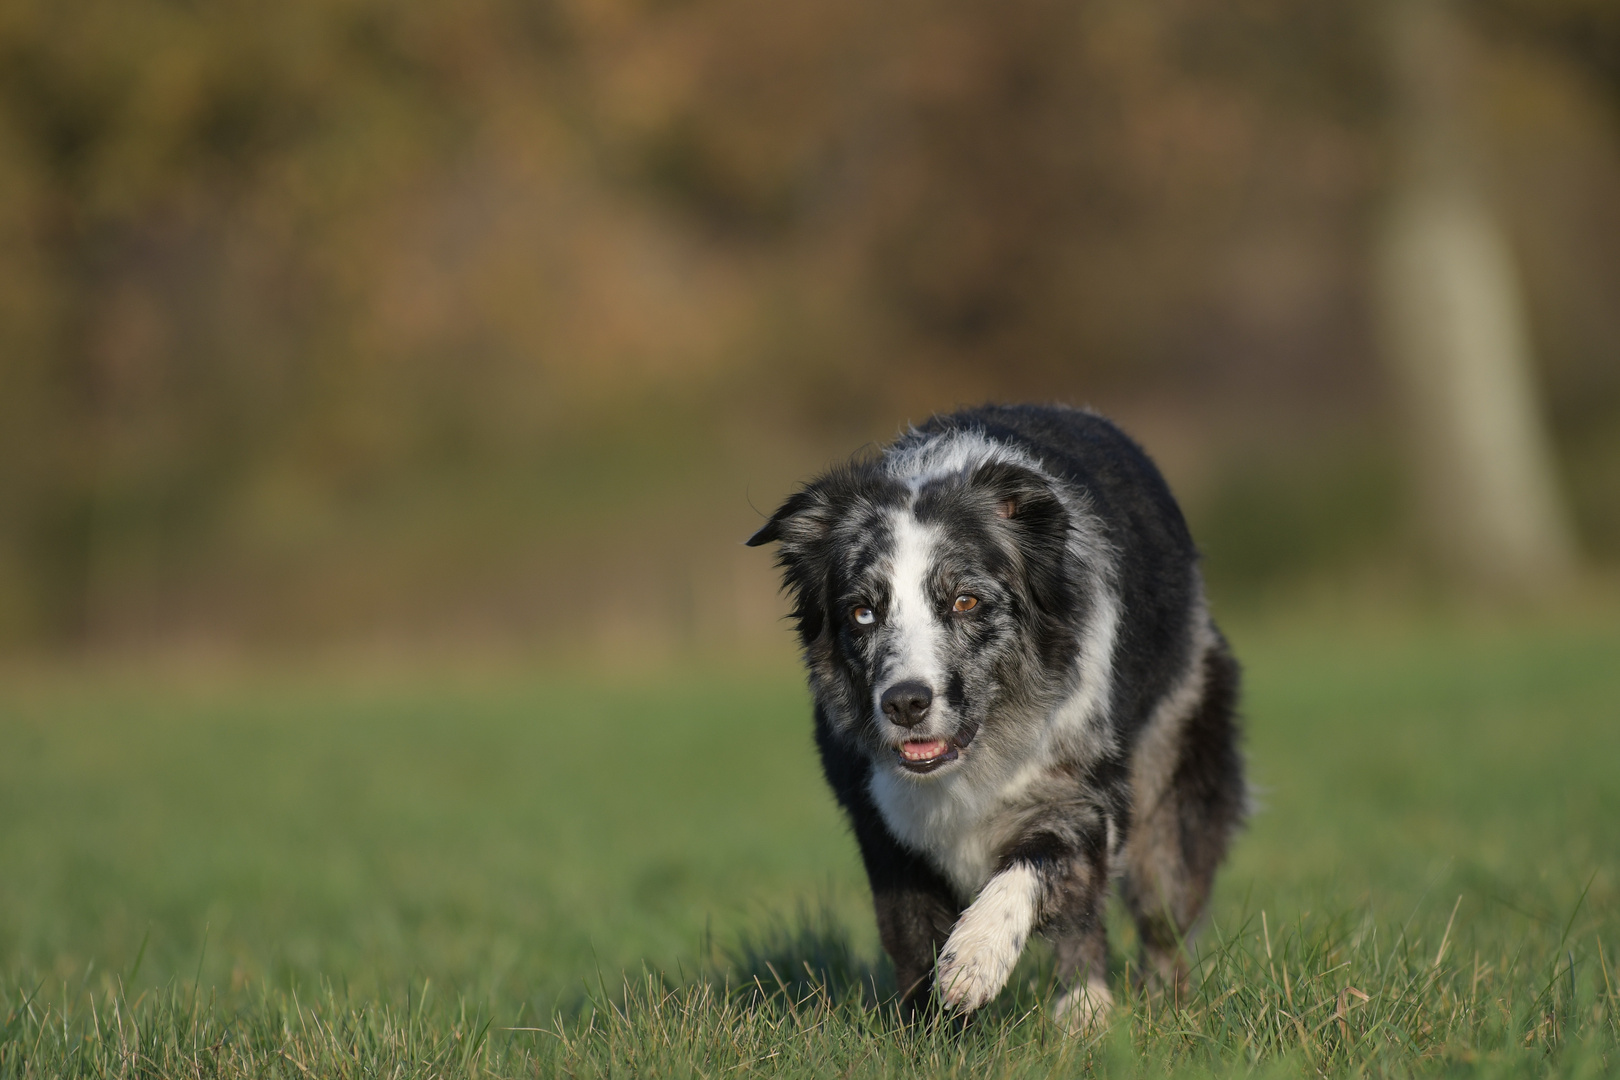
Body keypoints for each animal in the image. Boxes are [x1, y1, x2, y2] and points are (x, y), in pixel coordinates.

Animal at [751, 403, 1244, 1029]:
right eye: (863, 613)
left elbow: (1034, 869)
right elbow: (912, 935)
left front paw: (975, 959)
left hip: (1173, 760)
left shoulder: (1082, 790)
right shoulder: (881, 823)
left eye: (966, 601)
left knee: (1156, 911)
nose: (905, 702)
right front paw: (932, 1031)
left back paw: (1108, 1011)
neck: (973, 755)